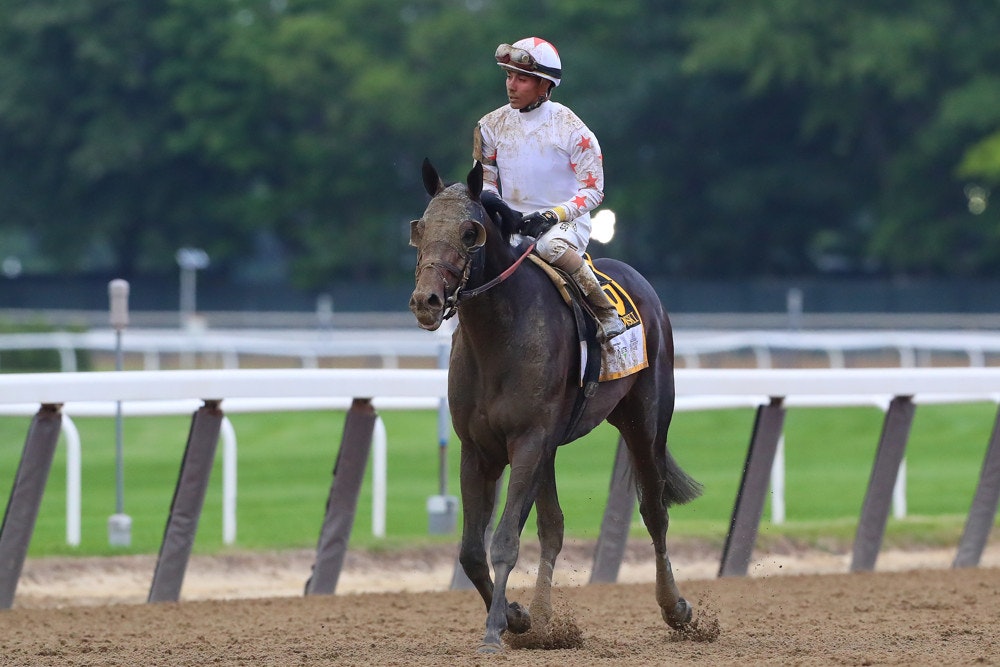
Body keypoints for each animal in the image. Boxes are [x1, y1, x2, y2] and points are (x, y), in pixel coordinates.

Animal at [408, 159, 701, 653]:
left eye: (470, 233)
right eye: (421, 228)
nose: (425, 301)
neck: (498, 337)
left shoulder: (528, 440)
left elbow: (505, 539)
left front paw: (495, 629)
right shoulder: (480, 449)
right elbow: (471, 550)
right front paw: (518, 617)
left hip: (645, 420)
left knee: (654, 511)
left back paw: (675, 608)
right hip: (551, 446)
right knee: (553, 526)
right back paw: (546, 620)